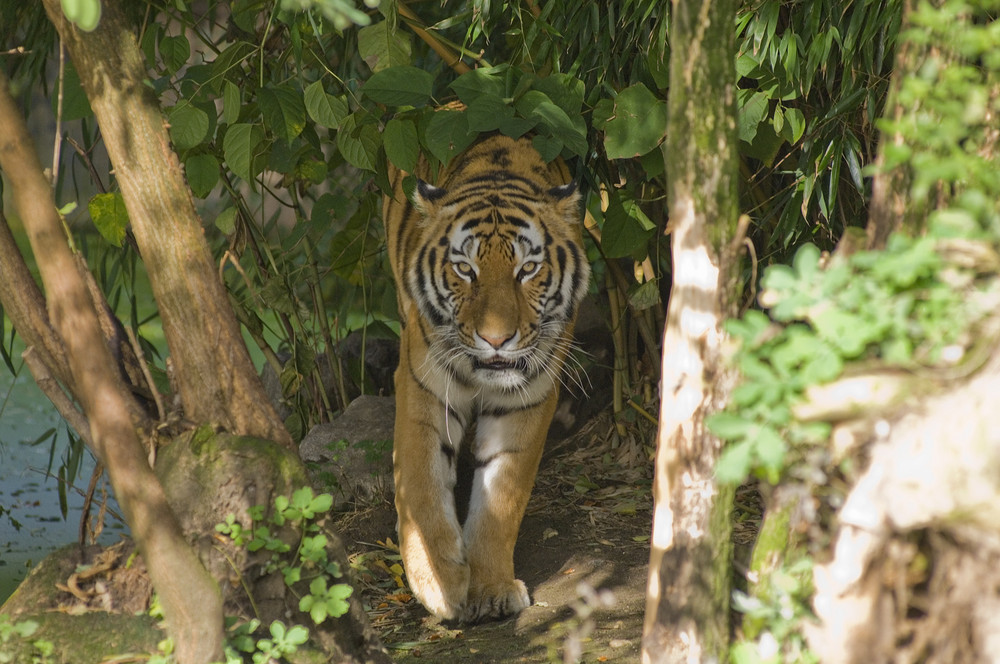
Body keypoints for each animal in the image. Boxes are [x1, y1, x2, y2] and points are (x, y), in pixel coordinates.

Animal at [380, 135, 584, 624]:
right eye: (465, 270)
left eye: (527, 270)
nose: (495, 339)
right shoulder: (423, 388)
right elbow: (420, 485)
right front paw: (440, 582)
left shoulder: (527, 400)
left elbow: (502, 499)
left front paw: (490, 589)